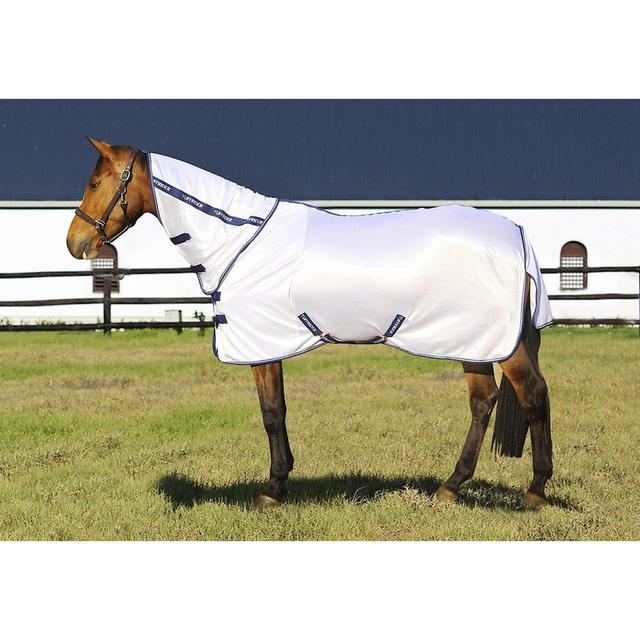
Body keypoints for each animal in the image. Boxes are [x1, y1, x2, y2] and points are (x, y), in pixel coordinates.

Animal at [66, 137, 553, 509]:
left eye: (94, 183)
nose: (76, 242)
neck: (239, 238)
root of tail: (518, 235)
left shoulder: (263, 344)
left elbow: (271, 413)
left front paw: (272, 490)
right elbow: (276, 410)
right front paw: (279, 484)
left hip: (499, 344)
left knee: (533, 395)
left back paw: (535, 491)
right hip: (473, 342)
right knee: (483, 401)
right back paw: (450, 488)